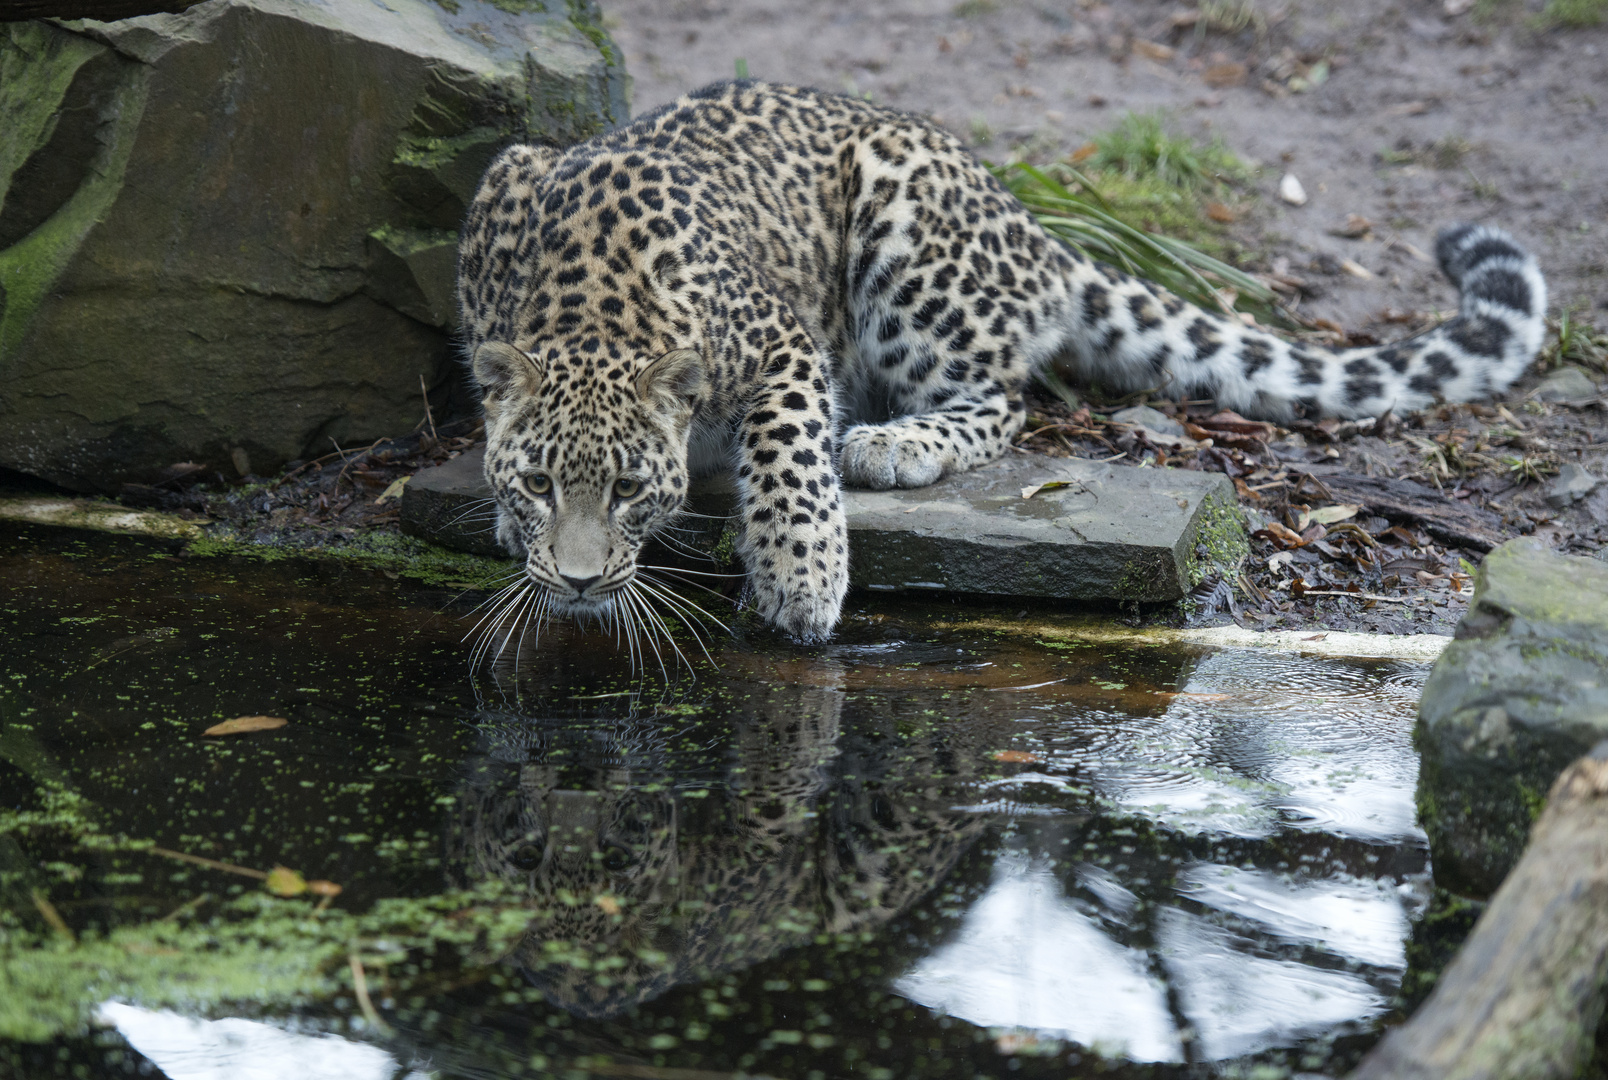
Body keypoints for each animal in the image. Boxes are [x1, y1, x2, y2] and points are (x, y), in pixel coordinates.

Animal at [453, 84, 1543, 646]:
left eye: (630, 487)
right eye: (541, 482)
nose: (581, 583)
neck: (591, 309)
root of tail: (1027, 223)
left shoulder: (782, 344)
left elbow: (790, 457)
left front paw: (804, 582)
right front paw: (515, 534)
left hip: (903, 234)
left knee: (1006, 400)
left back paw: (892, 443)